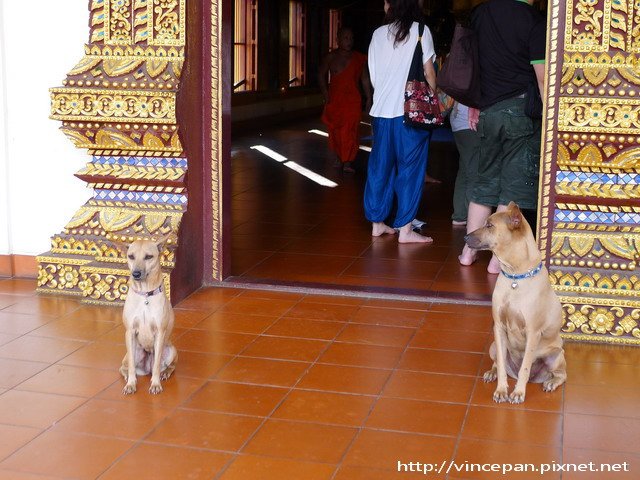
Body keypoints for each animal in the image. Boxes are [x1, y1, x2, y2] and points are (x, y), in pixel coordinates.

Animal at [118, 236, 176, 394]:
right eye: (131, 256)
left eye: (149, 257)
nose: (136, 274)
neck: (145, 295)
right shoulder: (130, 332)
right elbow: (132, 367)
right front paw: (131, 384)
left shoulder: (160, 333)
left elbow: (156, 365)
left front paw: (155, 384)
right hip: (129, 353)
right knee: (124, 367)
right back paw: (127, 376)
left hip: (171, 350)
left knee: (170, 366)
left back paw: (165, 373)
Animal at [464, 201, 564, 404]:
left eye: (490, 225)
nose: (464, 236)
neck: (515, 276)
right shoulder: (499, 327)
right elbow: (502, 365)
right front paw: (501, 389)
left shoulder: (533, 332)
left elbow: (525, 366)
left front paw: (518, 393)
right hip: (494, 346)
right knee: (497, 362)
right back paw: (492, 373)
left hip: (557, 354)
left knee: (561, 374)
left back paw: (551, 382)